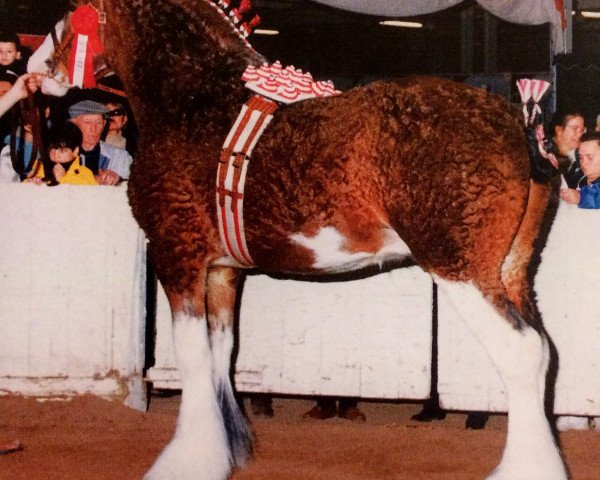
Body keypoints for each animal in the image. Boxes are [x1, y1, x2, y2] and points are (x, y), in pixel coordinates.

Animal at [30, 0, 568, 480]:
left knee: (522, 352)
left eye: (76, 9)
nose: (37, 68)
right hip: (511, 270)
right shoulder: (223, 272)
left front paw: (185, 462)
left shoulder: (177, 255)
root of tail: (515, 120)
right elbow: (220, 354)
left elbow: (192, 358)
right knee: (542, 351)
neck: (196, 99)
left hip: (461, 270)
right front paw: (226, 452)